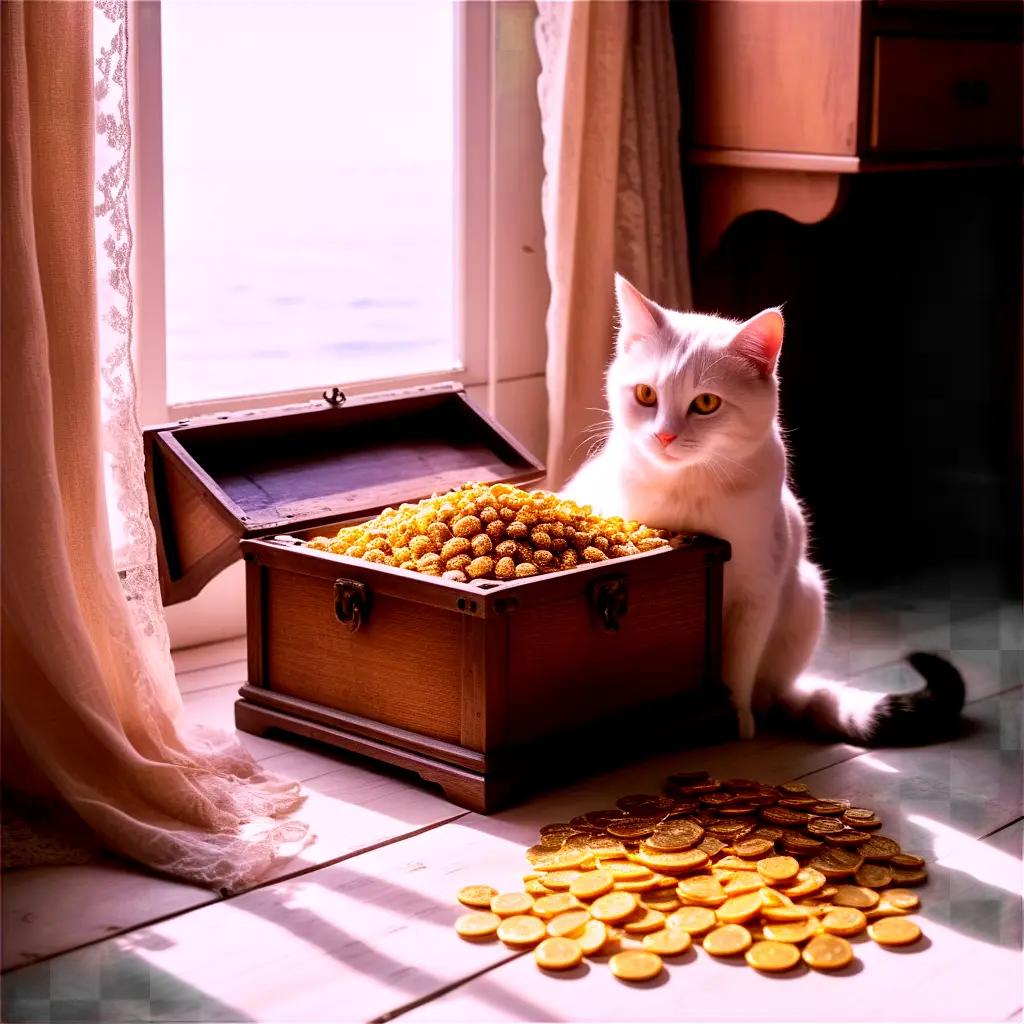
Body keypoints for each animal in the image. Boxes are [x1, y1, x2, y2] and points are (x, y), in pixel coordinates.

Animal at [565, 276, 962, 749]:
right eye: (646, 394)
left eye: (706, 404)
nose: (663, 435)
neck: (689, 489)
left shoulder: (757, 594)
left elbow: (737, 665)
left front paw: (735, 719)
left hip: (807, 596)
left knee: (769, 685)